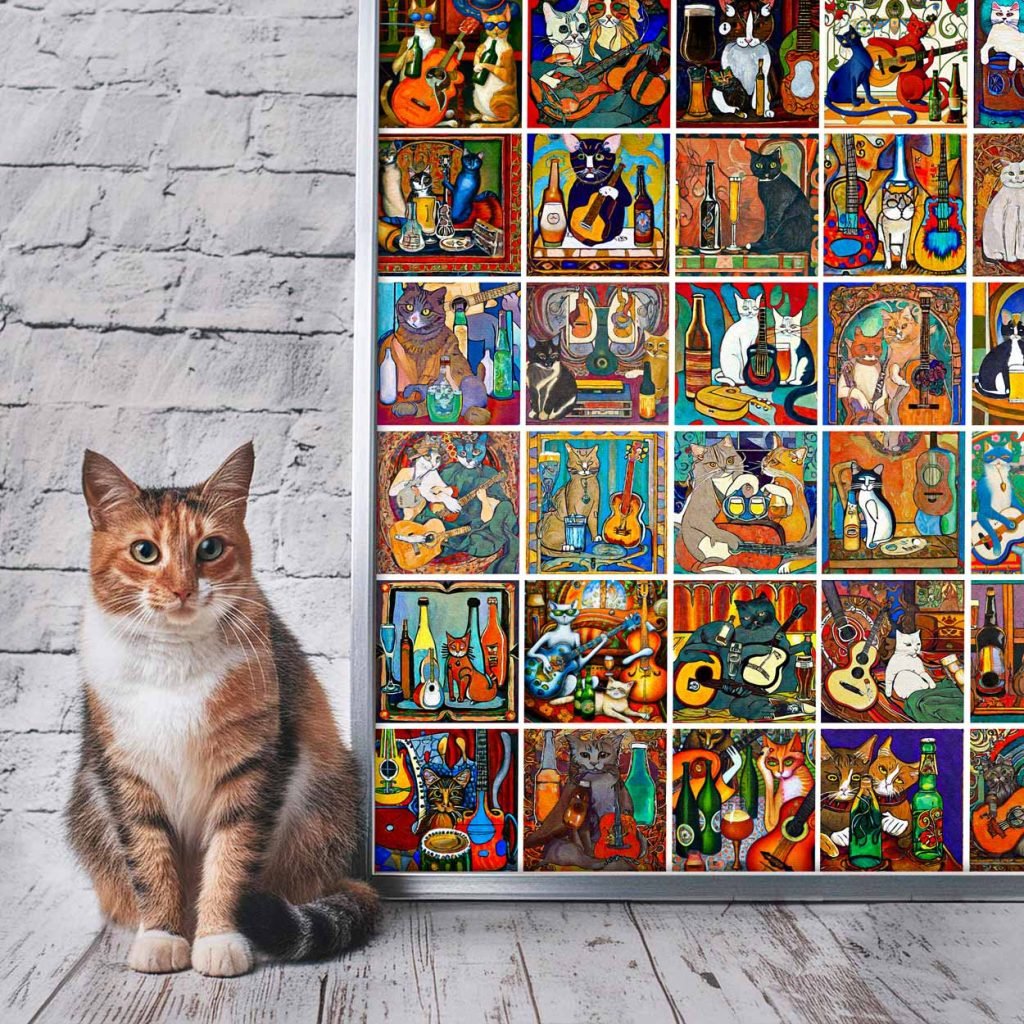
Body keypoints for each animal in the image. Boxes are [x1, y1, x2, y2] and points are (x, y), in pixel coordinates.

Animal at [70, 446, 378, 974]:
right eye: (145, 551)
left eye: (210, 548)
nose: (182, 589)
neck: (174, 660)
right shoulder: (124, 769)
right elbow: (149, 855)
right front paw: (162, 936)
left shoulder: (254, 763)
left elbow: (231, 857)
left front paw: (219, 939)